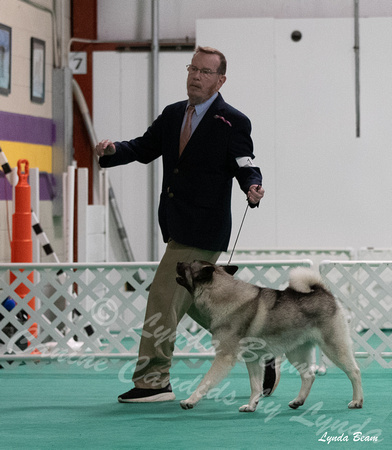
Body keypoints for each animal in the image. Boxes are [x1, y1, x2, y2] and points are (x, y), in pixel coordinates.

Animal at [176, 260, 362, 412]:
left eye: (188, 266)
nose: (178, 262)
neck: (221, 293)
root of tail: (322, 291)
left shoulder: (224, 357)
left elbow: (205, 381)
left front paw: (190, 401)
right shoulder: (252, 359)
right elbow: (255, 386)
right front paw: (251, 405)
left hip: (333, 347)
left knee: (354, 371)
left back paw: (357, 401)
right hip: (297, 352)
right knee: (308, 376)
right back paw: (298, 401)